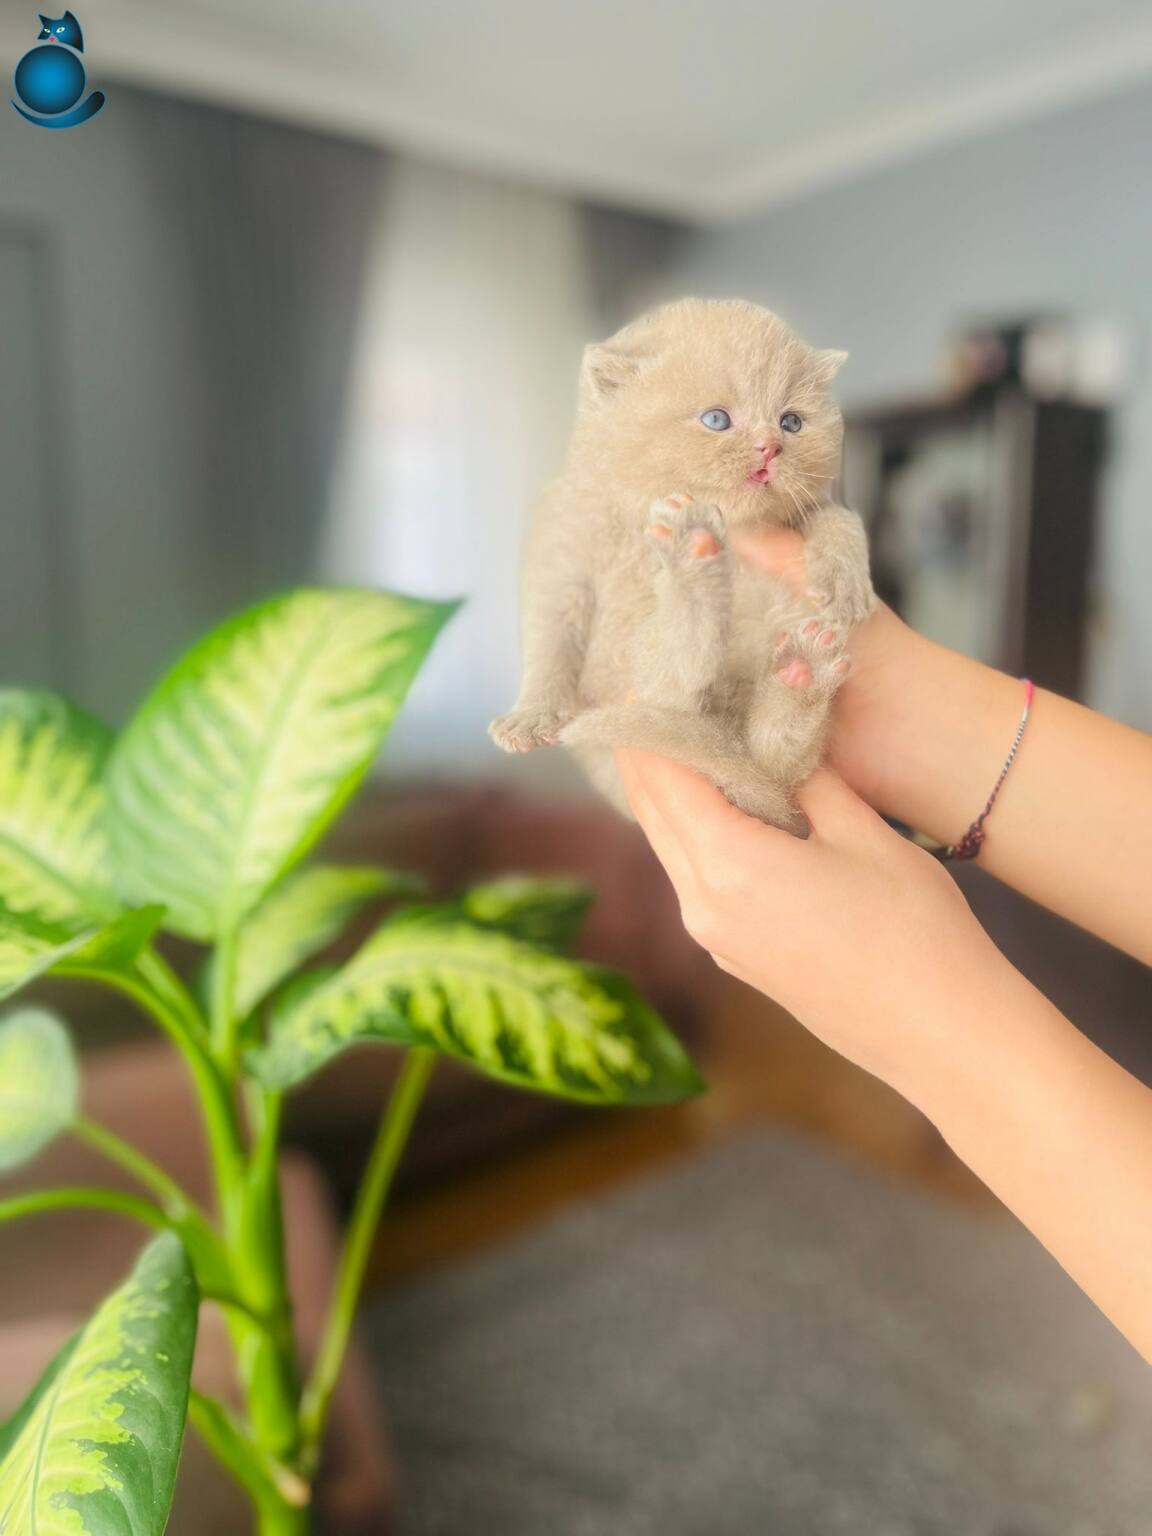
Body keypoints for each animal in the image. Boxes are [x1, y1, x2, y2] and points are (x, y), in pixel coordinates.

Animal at [488, 297, 875, 835]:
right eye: (716, 419)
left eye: (792, 423)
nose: (770, 448)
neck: (640, 510)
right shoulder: (560, 554)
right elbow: (550, 644)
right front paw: (531, 716)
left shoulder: (810, 509)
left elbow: (838, 517)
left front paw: (847, 583)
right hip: (632, 670)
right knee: (678, 684)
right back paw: (695, 561)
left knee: (772, 763)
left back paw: (800, 671)